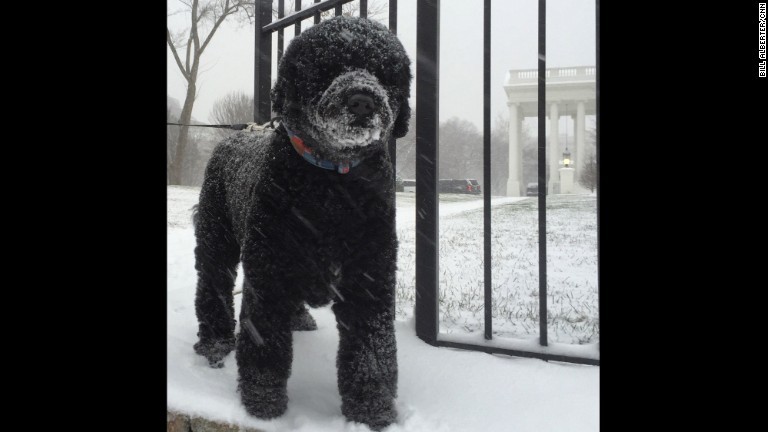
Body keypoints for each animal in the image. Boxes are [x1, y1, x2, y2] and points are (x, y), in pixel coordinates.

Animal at [194, 16, 408, 428]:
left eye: (384, 71)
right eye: (327, 66)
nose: (363, 100)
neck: (332, 186)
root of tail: (235, 136)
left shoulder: (369, 276)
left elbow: (371, 349)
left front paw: (370, 410)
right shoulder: (269, 273)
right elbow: (265, 342)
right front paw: (263, 401)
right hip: (217, 239)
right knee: (212, 287)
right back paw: (214, 342)